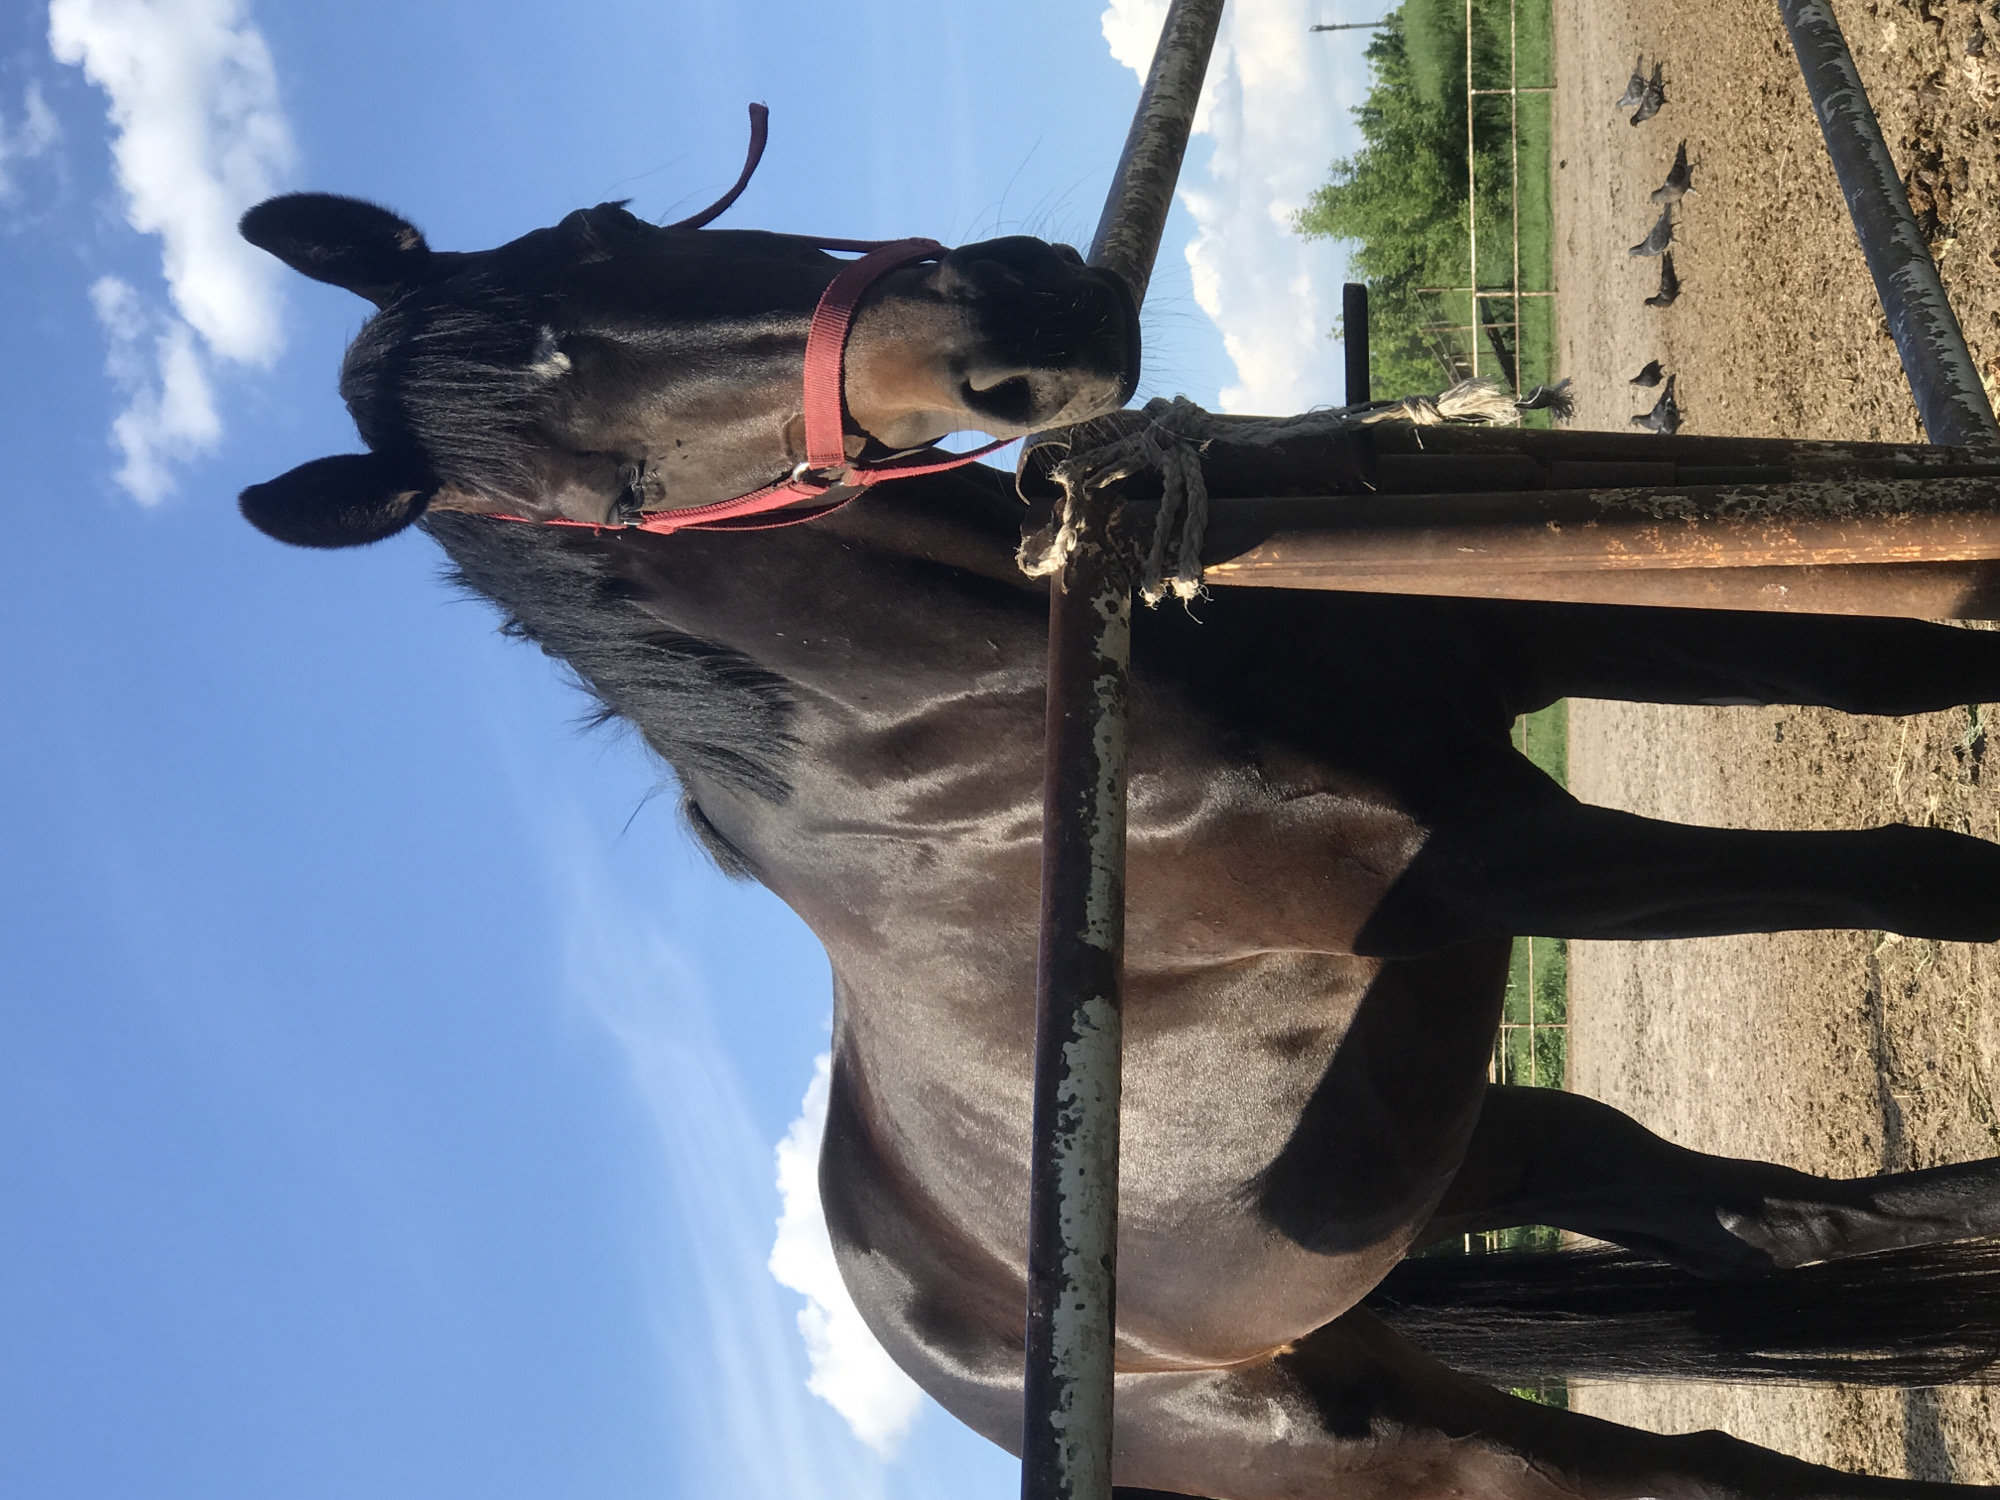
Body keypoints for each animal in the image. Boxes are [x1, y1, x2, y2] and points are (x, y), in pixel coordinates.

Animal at [237, 188, 2000, 1500]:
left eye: (605, 227)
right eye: (614, 487)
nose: (1013, 325)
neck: (1000, 691)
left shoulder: (1530, 625)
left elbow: (1898, 672)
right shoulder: (1501, 853)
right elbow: (1919, 879)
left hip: (1466, 1151)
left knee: (1769, 1226)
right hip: (1389, 1436)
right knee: (1696, 1464)